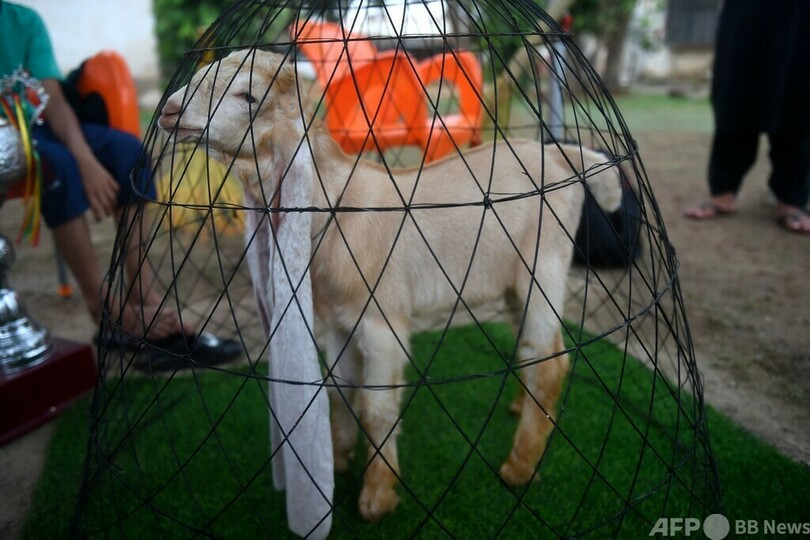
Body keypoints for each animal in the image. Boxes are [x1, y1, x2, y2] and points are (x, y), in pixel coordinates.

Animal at [158, 49, 623, 522]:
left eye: (249, 96)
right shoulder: (340, 322)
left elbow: (377, 407)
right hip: (514, 283)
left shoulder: (381, 323)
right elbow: (342, 391)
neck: (336, 207)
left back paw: (519, 466)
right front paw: (339, 458)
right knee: (534, 351)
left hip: (544, 266)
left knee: (549, 362)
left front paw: (377, 496)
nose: (170, 111)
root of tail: (562, 155)